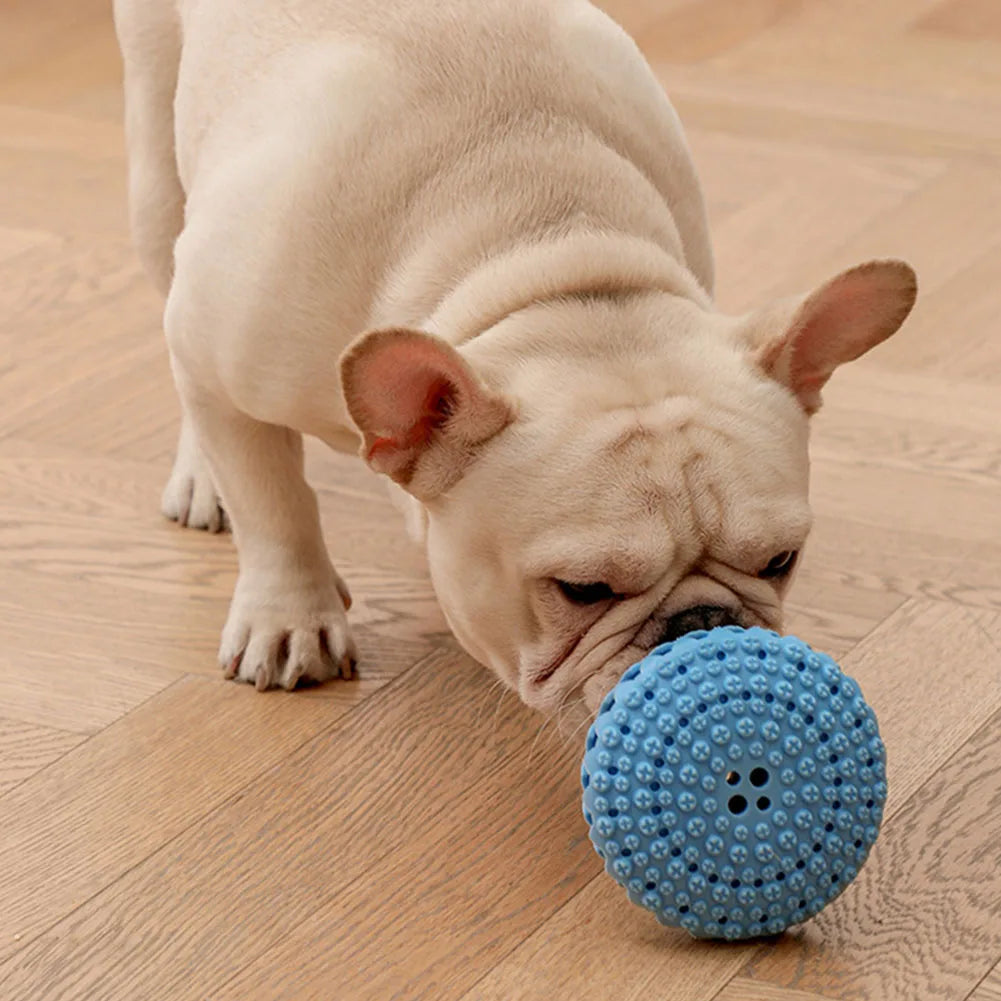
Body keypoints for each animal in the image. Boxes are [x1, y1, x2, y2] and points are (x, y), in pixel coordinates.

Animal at [115, 0, 916, 720]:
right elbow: (273, 500)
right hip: (157, 180)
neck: (553, 259)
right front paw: (290, 617)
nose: (705, 626)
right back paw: (203, 479)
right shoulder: (218, 350)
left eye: (780, 562)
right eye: (581, 590)